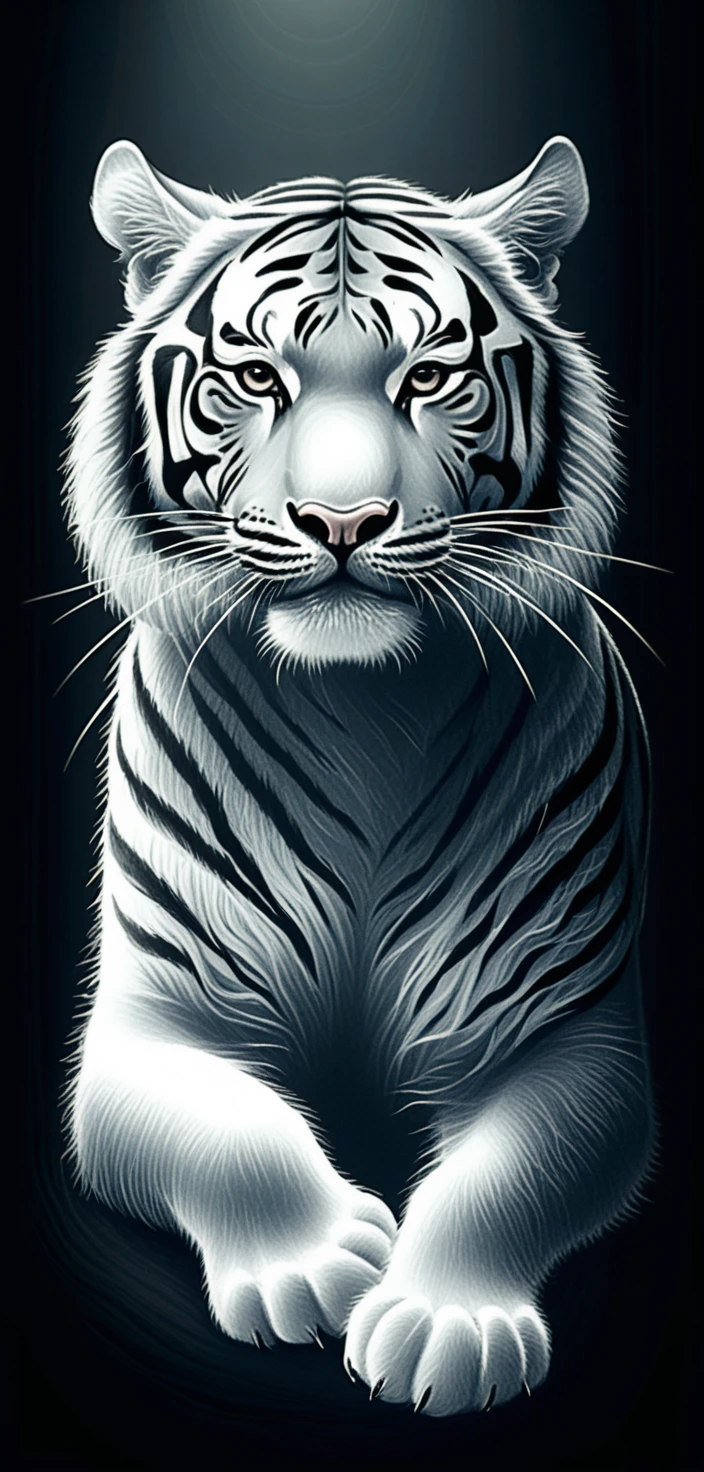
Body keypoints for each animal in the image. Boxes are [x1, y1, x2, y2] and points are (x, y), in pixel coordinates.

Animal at [65, 136, 653, 1418]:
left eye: (429, 376)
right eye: (255, 375)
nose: (342, 521)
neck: (360, 707)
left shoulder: (568, 1032)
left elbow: (511, 1173)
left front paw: (443, 1321)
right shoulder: (150, 1022)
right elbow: (231, 1133)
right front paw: (314, 1260)